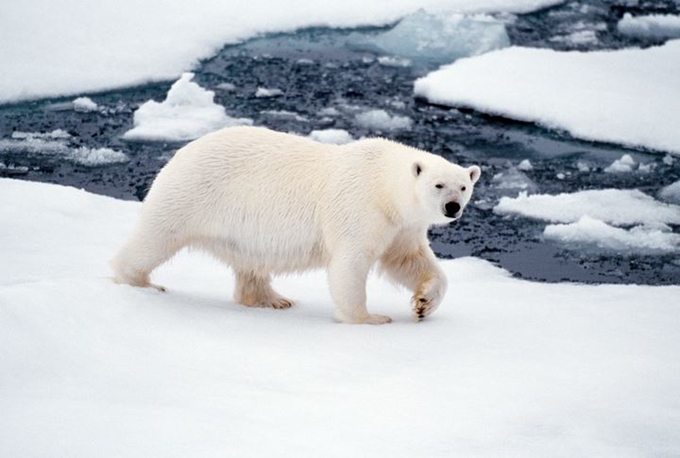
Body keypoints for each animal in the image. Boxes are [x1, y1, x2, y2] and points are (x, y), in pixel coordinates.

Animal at [111, 127, 480, 324]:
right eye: (438, 185)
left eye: (463, 186)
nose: (452, 208)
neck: (383, 183)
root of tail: (182, 151)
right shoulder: (360, 206)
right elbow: (350, 263)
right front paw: (369, 318)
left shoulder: (401, 225)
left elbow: (408, 260)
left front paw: (423, 304)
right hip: (191, 193)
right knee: (156, 236)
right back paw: (140, 282)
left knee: (251, 262)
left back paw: (272, 299)